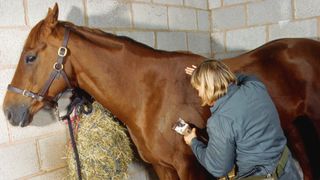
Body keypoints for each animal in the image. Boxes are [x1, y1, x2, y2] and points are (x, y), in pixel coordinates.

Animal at [3, 4, 320, 180]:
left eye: (30, 57)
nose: (9, 111)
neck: (150, 96)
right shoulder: (162, 167)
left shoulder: (190, 167)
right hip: (292, 127)